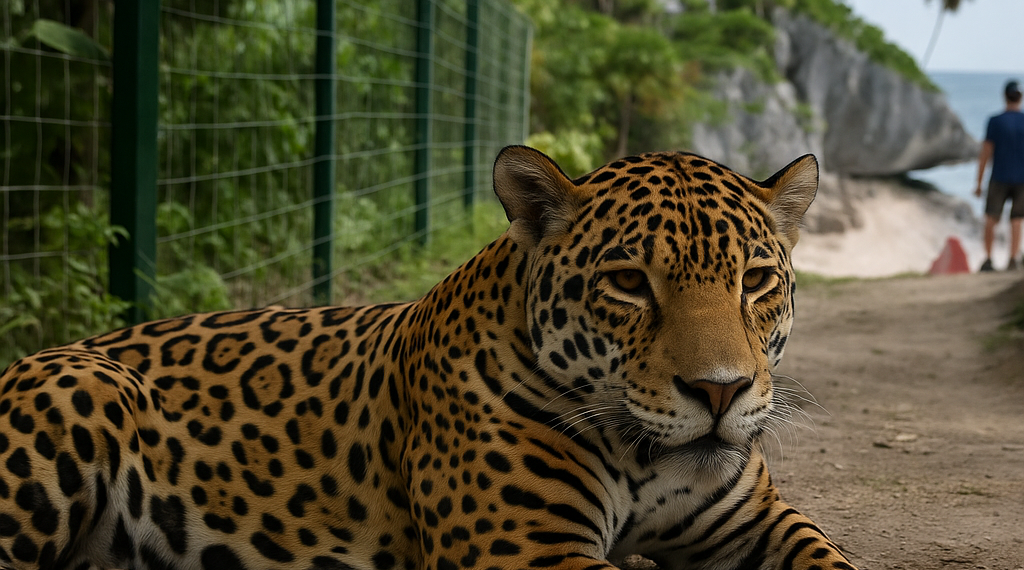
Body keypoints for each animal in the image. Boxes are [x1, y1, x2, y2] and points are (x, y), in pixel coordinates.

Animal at [0, 145, 857, 570]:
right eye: (627, 283)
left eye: (755, 281)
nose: (720, 391)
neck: (643, 454)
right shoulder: (525, 552)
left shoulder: (755, 523)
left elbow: (827, 559)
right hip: (85, 384)